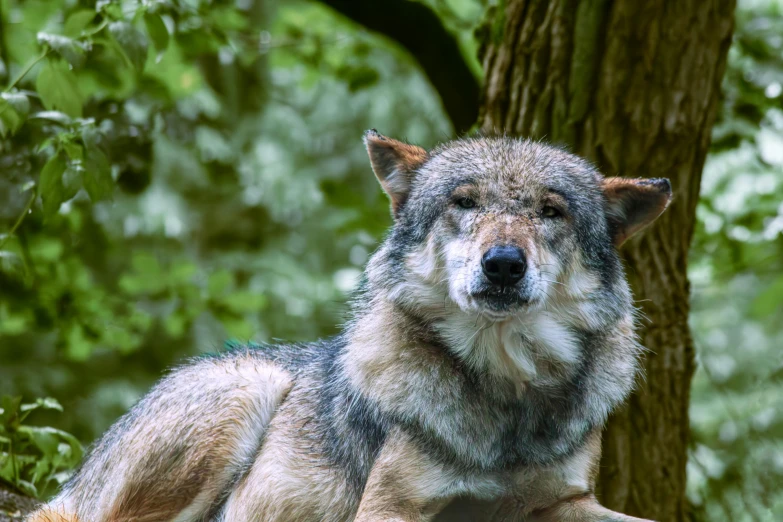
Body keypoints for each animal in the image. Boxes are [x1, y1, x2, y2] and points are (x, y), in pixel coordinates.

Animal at [27, 131, 672, 520]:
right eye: (463, 203)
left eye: (550, 212)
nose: (504, 264)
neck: (503, 396)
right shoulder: (390, 507)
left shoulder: (566, 503)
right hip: (248, 390)